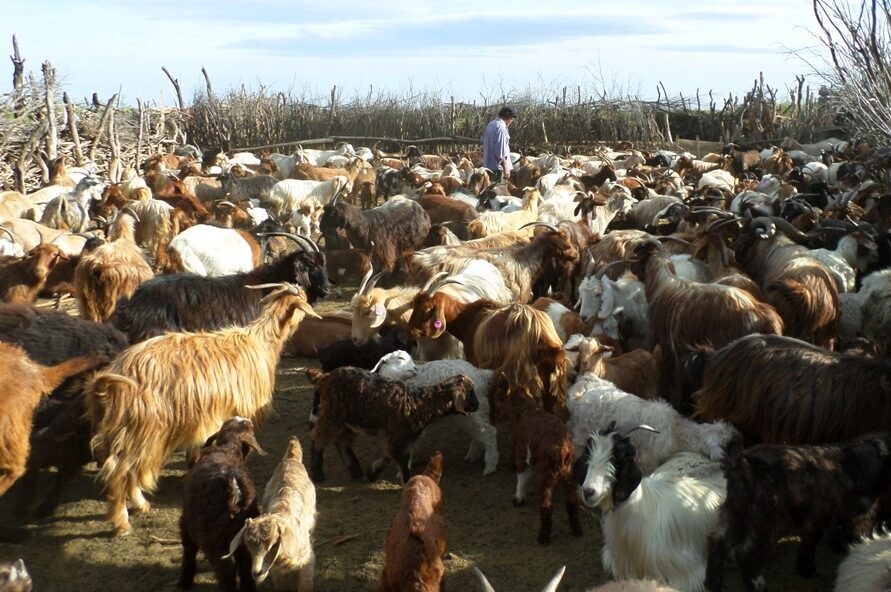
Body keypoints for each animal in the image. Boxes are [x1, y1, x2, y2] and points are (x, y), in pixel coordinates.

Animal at [86, 284, 320, 536]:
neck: (261, 342)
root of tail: (110, 380)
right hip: (144, 431)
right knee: (120, 472)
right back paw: (123, 521)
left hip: (125, 433)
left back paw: (138, 505)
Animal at [179, 416, 264, 592]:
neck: (226, 450)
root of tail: (234, 489)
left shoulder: (186, 522)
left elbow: (189, 550)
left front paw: (185, 581)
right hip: (245, 541)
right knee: (246, 570)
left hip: (215, 542)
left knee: (226, 575)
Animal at [306, 368, 478, 484]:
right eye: (470, 393)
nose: (478, 405)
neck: (420, 403)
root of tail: (324, 377)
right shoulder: (397, 436)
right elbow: (401, 460)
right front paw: (407, 481)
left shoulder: (397, 437)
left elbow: (388, 456)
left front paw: (372, 473)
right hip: (332, 414)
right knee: (317, 438)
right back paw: (318, 474)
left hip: (350, 420)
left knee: (341, 442)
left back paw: (355, 471)